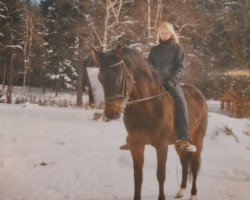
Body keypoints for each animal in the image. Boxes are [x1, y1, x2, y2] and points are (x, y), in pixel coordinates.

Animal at [91, 44, 208, 199]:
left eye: (119, 77)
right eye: (100, 78)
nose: (111, 114)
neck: (147, 107)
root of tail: (199, 94)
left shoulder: (162, 145)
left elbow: (161, 175)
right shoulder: (136, 145)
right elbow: (138, 176)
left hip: (198, 140)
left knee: (194, 165)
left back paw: (193, 194)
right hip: (179, 144)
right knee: (184, 162)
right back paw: (181, 190)